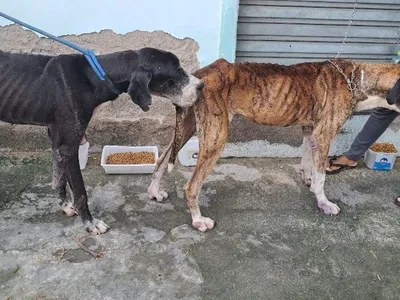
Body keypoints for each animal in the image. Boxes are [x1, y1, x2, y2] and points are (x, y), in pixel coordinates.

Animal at [0, 47, 205, 234]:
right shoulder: (69, 147)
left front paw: (65, 206)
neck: (97, 75)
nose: (201, 86)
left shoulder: (57, 139)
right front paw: (90, 224)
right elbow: (80, 192)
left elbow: (58, 179)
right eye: (176, 72)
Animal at [147, 58, 400, 232]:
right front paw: (324, 203)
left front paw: (308, 180)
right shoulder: (324, 135)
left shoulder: (310, 131)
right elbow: (321, 177)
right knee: (191, 186)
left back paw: (154, 192)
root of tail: (201, 74)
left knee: (162, 161)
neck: (357, 79)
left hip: (188, 126)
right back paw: (199, 221)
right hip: (215, 137)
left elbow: (307, 161)